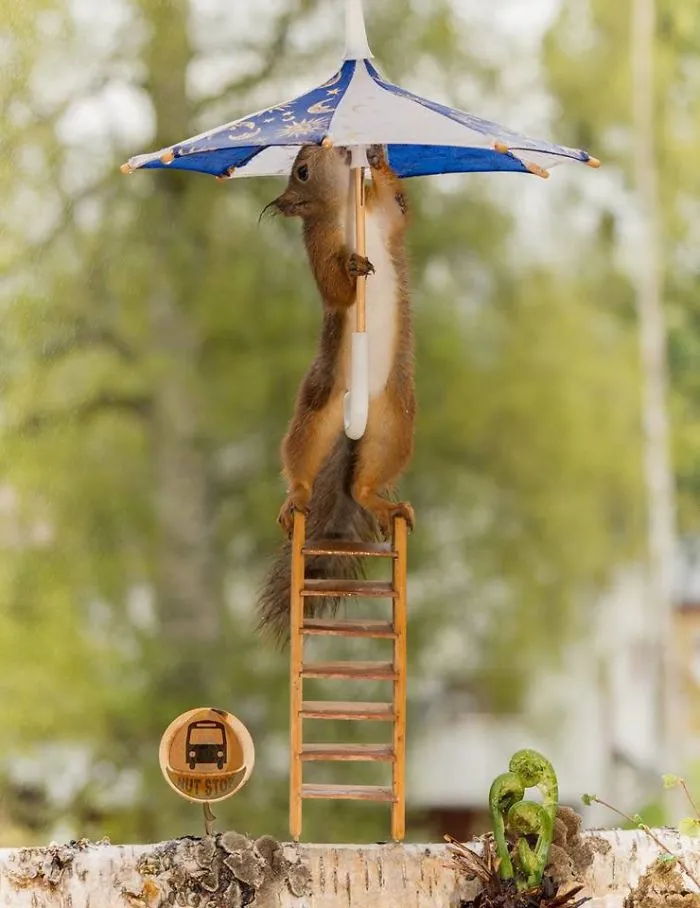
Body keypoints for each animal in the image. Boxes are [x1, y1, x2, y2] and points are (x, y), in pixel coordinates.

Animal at [256, 143, 415, 642]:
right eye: (302, 171)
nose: (333, 145)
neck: (347, 211)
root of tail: (355, 425)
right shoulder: (319, 242)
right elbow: (337, 290)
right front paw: (351, 268)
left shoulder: (384, 215)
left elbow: (399, 208)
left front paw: (379, 161)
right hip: (319, 408)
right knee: (301, 460)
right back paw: (297, 495)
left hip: (393, 426)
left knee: (363, 485)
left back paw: (380, 501)